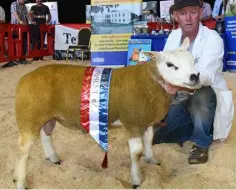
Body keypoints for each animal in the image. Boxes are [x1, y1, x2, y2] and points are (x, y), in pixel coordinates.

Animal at [13, 37, 200, 189]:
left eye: (194, 60)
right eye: (170, 64)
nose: (195, 76)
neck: (150, 82)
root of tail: (24, 79)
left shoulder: (146, 120)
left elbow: (149, 140)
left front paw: (152, 160)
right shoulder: (132, 122)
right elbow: (136, 152)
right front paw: (136, 179)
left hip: (48, 116)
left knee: (45, 135)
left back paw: (53, 158)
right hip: (29, 117)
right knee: (23, 151)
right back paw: (20, 182)